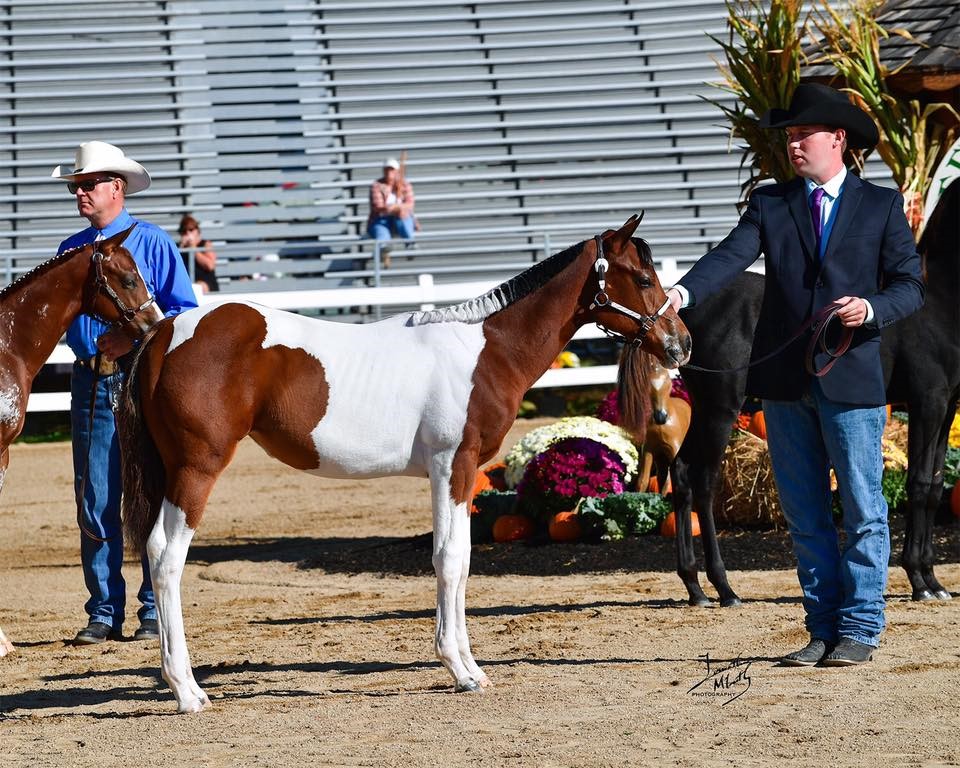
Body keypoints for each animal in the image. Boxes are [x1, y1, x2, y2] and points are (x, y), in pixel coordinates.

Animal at [118, 213, 688, 712]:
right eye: (642, 277)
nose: (679, 343)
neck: (487, 350)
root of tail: (165, 334)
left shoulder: (460, 473)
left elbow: (462, 559)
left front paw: (471, 669)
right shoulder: (452, 466)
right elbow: (449, 559)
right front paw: (459, 669)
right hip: (197, 469)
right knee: (166, 557)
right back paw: (187, 691)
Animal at [664, 180, 956, 608]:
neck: (937, 303)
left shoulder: (948, 404)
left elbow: (934, 487)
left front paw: (934, 581)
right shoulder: (927, 401)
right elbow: (919, 485)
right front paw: (919, 581)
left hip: (703, 406)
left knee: (682, 473)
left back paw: (695, 587)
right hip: (721, 408)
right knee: (704, 482)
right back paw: (724, 588)